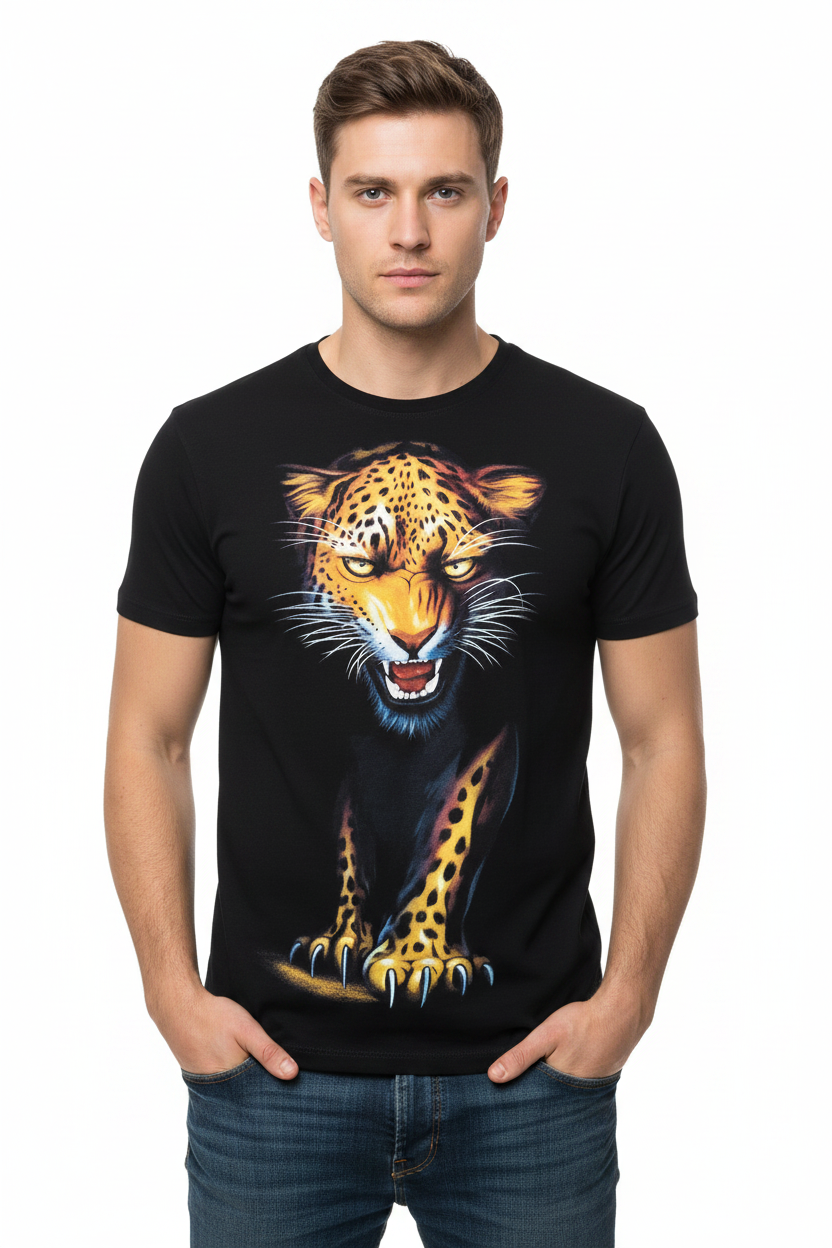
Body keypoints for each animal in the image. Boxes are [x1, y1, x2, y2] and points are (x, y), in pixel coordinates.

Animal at [271, 439, 547, 1008]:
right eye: (360, 564)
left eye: (459, 565)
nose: (414, 640)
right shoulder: (346, 752)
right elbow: (350, 844)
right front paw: (343, 939)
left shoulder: (491, 735)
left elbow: (449, 841)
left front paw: (416, 957)